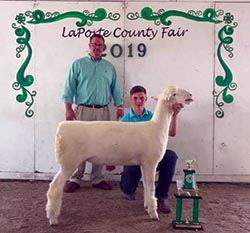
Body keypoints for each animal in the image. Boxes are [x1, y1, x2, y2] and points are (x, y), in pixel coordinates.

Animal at [45, 86, 193, 226]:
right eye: (174, 94)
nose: (191, 95)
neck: (157, 126)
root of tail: (61, 128)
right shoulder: (150, 162)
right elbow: (151, 188)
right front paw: (153, 214)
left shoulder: (144, 164)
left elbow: (146, 186)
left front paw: (147, 207)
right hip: (68, 162)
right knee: (55, 187)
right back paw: (53, 218)